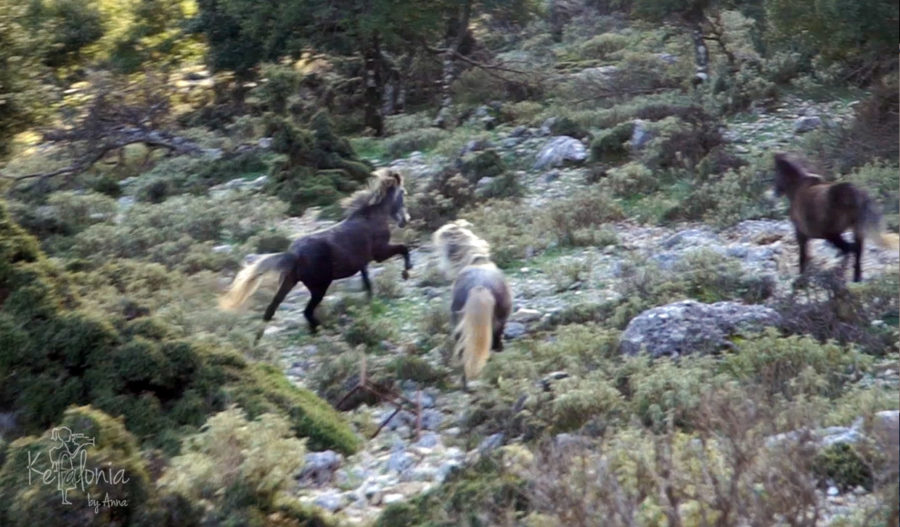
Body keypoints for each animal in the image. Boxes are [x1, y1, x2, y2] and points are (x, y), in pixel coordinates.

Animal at [221, 170, 412, 334]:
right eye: (403, 192)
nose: (405, 220)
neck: (372, 217)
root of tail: (294, 254)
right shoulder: (379, 253)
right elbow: (403, 248)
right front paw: (406, 272)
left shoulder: (363, 262)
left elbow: (367, 281)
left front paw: (371, 299)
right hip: (319, 287)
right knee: (306, 312)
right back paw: (322, 329)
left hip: (289, 282)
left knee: (271, 309)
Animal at [768, 154, 896, 282]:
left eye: (777, 172)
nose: (775, 192)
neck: (798, 188)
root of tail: (851, 192)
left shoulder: (801, 233)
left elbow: (803, 257)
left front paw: (801, 276)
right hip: (856, 230)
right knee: (857, 250)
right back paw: (855, 278)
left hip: (832, 234)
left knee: (850, 249)